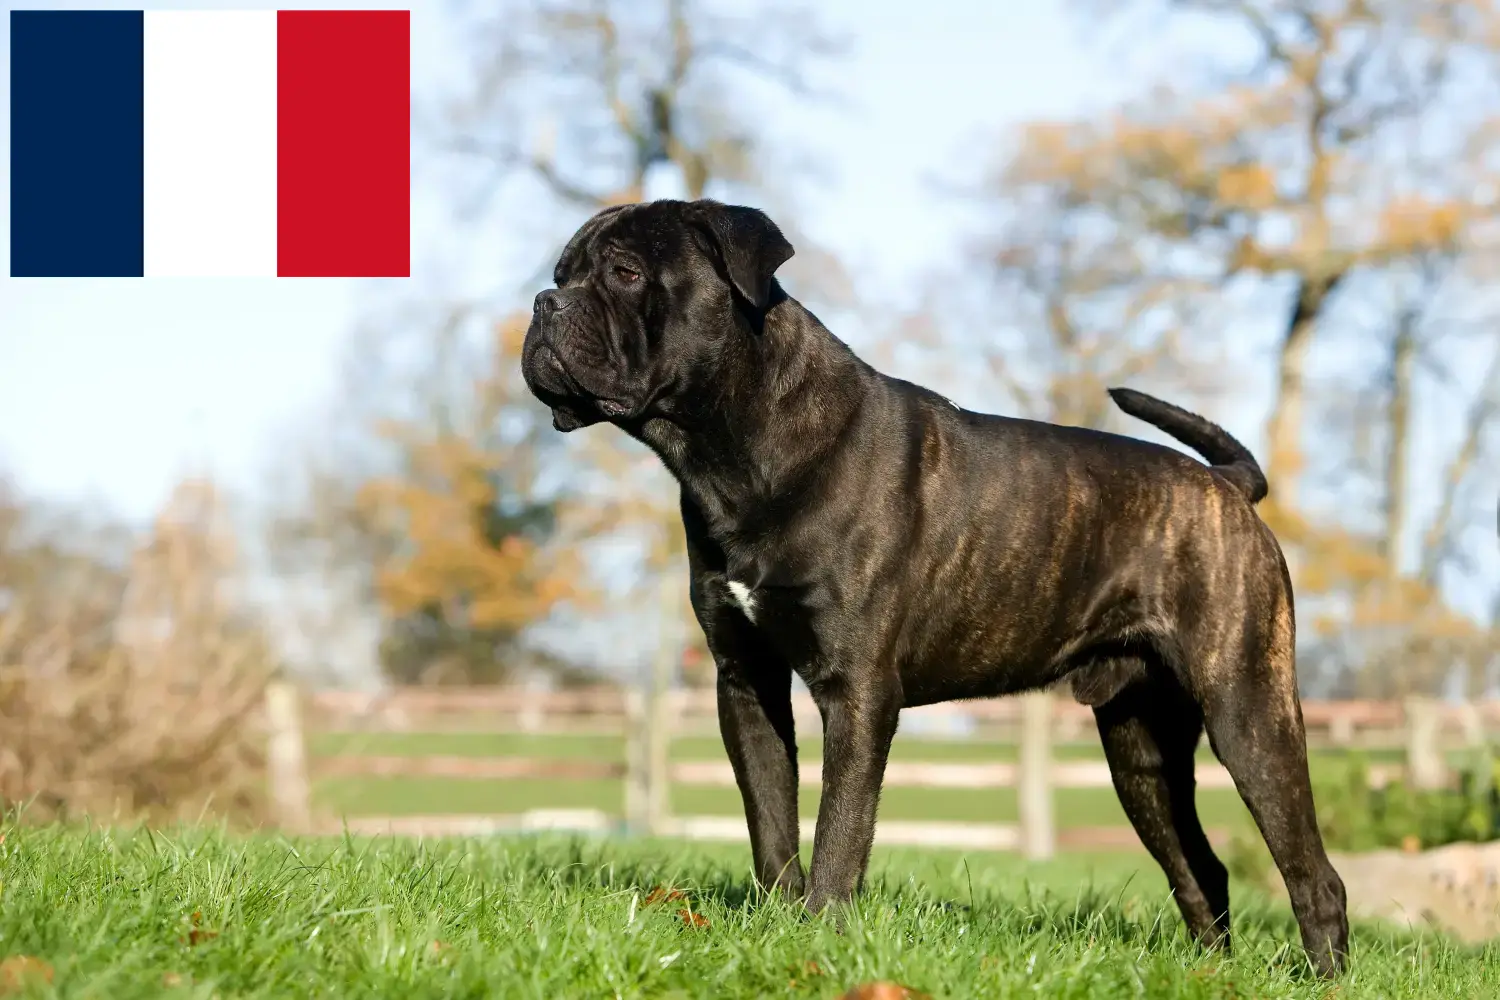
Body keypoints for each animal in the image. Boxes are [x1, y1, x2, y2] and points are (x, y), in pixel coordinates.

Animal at [522, 197, 1356, 977]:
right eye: (562, 271)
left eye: (625, 273)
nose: (542, 303)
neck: (734, 449)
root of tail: (1228, 487)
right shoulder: (746, 681)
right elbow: (771, 822)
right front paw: (780, 923)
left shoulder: (857, 691)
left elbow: (839, 831)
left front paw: (821, 936)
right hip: (1140, 747)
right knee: (1200, 868)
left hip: (1248, 712)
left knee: (1314, 874)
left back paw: (1324, 978)